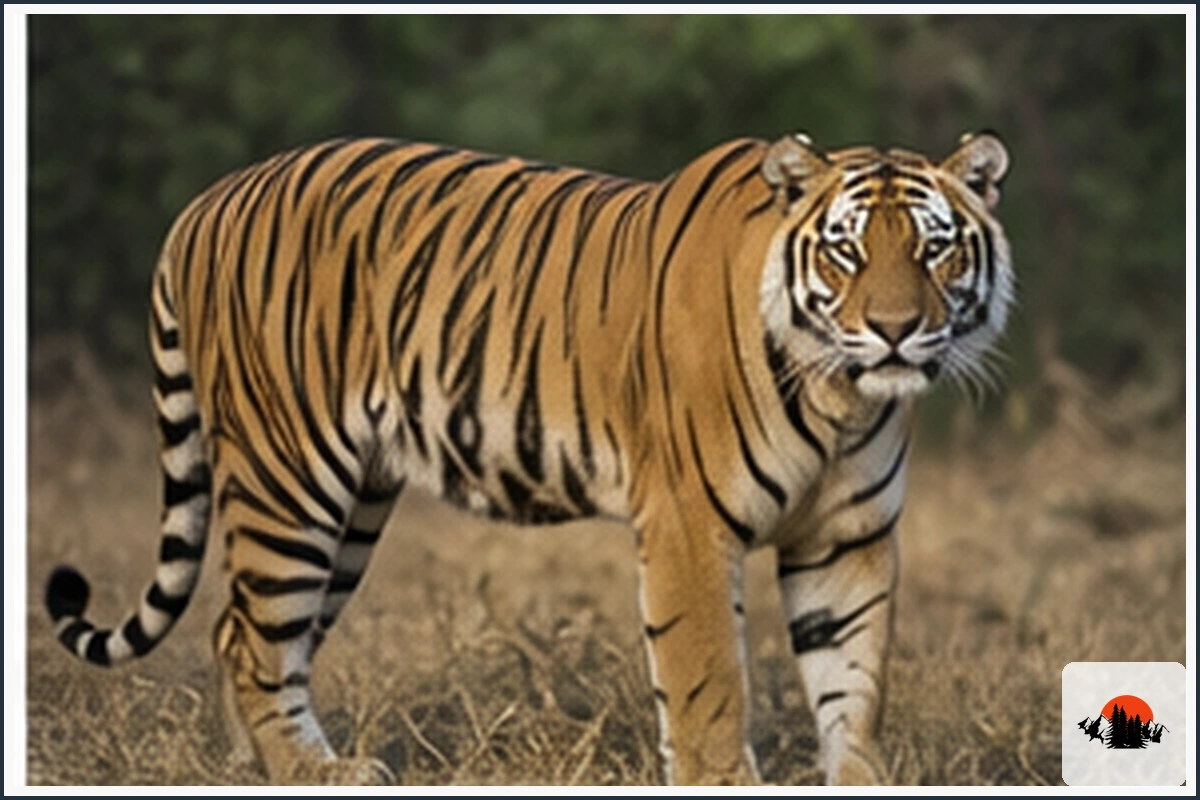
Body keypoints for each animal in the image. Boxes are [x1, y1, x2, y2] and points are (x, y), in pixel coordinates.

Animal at [44, 130, 1011, 785]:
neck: (843, 398)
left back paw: (261, 765)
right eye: (846, 249)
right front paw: (724, 779)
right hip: (290, 476)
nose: (894, 330)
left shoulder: (847, 537)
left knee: (240, 629)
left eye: (933, 247)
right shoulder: (689, 526)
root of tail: (206, 201)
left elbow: (853, 676)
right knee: (255, 637)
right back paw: (315, 773)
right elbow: (708, 683)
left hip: (352, 505)